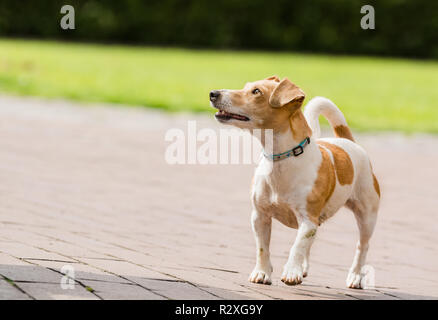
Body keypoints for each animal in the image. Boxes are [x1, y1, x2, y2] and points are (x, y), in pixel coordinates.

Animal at [209, 76, 380, 288]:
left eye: (256, 92)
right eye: (246, 86)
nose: (213, 93)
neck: (281, 159)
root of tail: (349, 142)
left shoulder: (308, 219)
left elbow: (297, 246)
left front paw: (291, 271)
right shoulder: (260, 216)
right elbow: (262, 248)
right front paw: (262, 273)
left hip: (367, 215)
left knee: (362, 246)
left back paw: (355, 276)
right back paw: (304, 268)